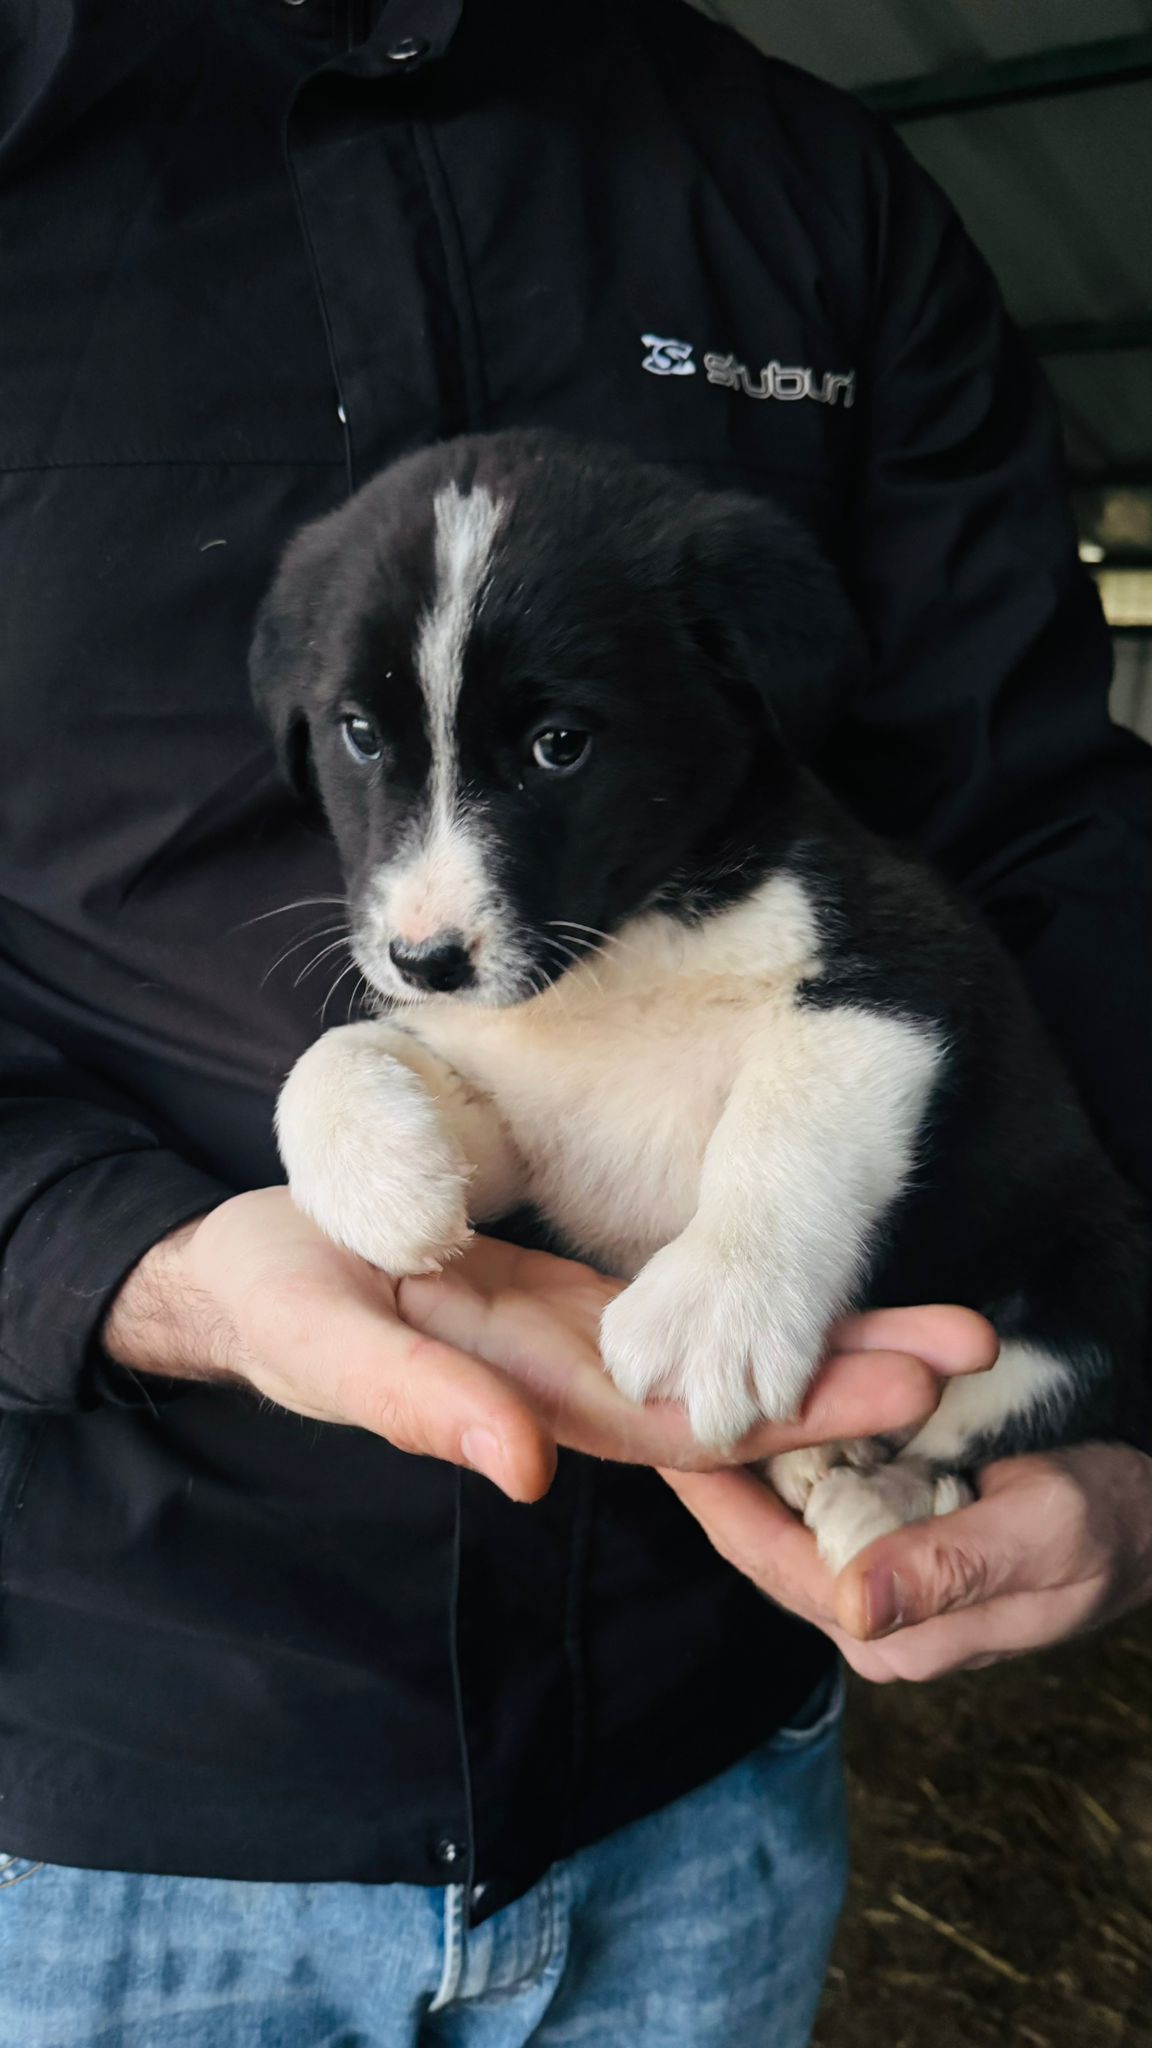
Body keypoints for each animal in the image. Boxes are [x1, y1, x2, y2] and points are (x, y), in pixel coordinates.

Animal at [250, 429, 1147, 1573]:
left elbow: (790, 1116)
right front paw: (383, 1183)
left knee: (972, 1428)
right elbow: (328, 1061)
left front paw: (722, 1301)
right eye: (359, 732)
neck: (617, 955)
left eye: (560, 744)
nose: (426, 959)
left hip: (1083, 1303)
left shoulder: (900, 965)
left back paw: (878, 1493)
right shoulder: (524, 1115)